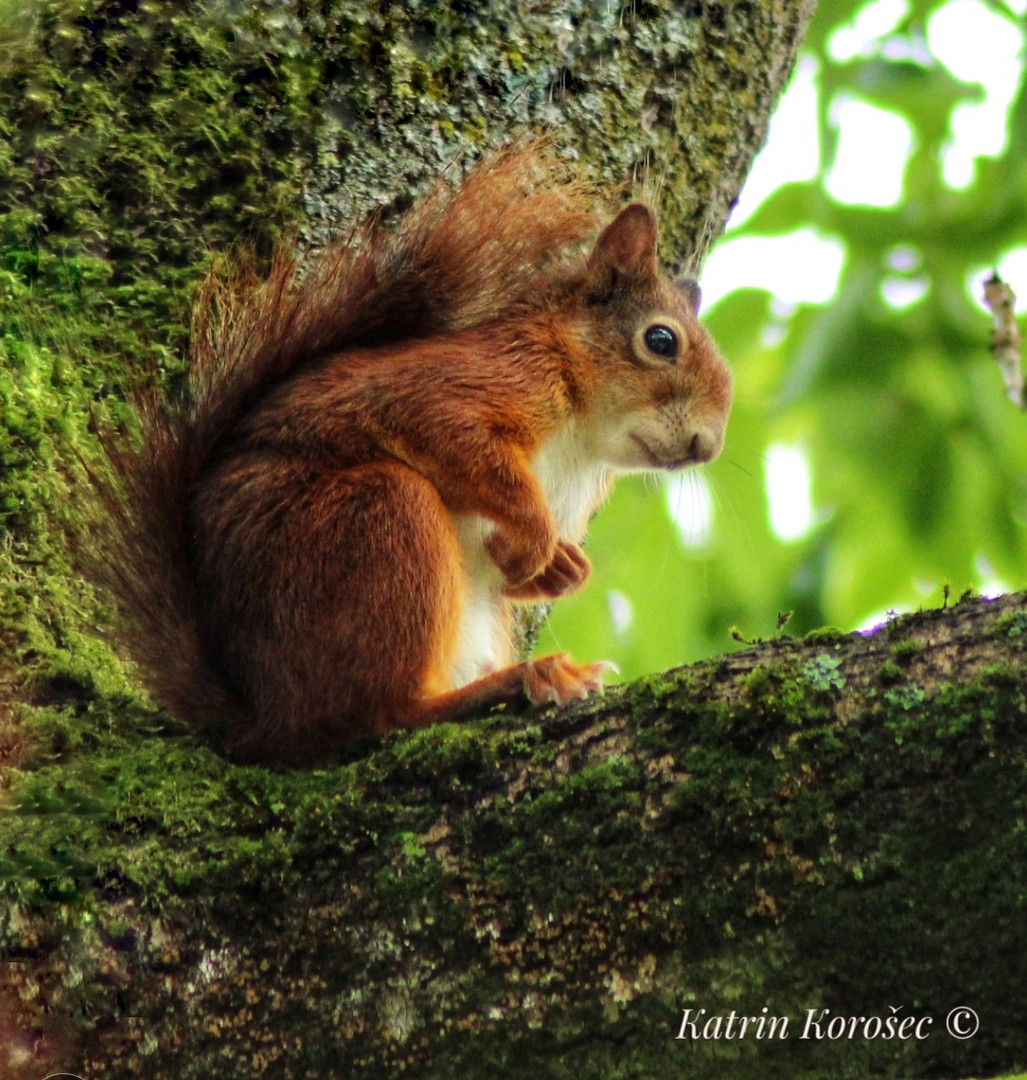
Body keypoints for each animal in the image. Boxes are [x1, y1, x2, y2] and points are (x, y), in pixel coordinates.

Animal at [102, 145, 730, 768]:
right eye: (661, 341)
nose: (707, 445)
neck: (583, 442)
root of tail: (264, 721)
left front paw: (565, 567)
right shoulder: (476, 382)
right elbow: (452, 435)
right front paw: (535, 539)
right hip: (378, 521)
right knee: (380, 712)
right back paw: (514, 681)